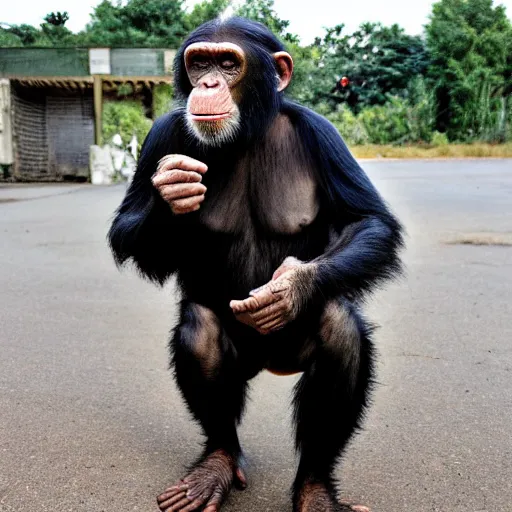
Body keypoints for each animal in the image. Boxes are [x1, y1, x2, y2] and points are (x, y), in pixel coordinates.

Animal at [108, 16, 404, 512]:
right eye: (200, 62)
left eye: (229, 64)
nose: (207, 83)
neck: (245, 132)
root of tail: (268, 363)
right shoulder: (160, 137)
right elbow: (125, 227)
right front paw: (170, 191)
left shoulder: (324, 135)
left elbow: (369, 221)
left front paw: (292, 287)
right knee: (201, 330)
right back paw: (216, 465)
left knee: (339, 328)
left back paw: (315, 490)